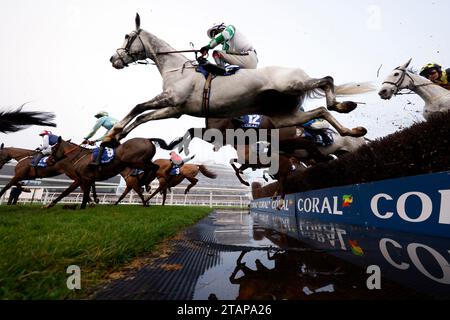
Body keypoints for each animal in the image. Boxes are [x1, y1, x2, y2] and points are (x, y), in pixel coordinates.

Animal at [45, 136, 179, 209]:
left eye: (54, 148)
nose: (48, 160)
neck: (81, 158)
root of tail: (147, 139)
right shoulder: (80, 179)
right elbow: (66, 192)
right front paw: (49, 205)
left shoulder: (85, 178)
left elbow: (85, 194)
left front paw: (84, 206)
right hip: (140, 161)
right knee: (153, 168)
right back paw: (145, 183)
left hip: (135, 161)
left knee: (152, 168)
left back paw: (145, 183)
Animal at [105, 13, 372, 144]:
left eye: (127, 36)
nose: (113, 59)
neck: (176, 68)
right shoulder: (174, 109)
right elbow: (142, 117)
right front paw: (112, 138)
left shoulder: (171, 99)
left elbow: (138, 107)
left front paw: (113, 131)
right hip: (284, 116)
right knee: (320, 112)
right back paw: (353, 131)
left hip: (291, 84)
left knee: (327, 80)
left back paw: (343, 105)